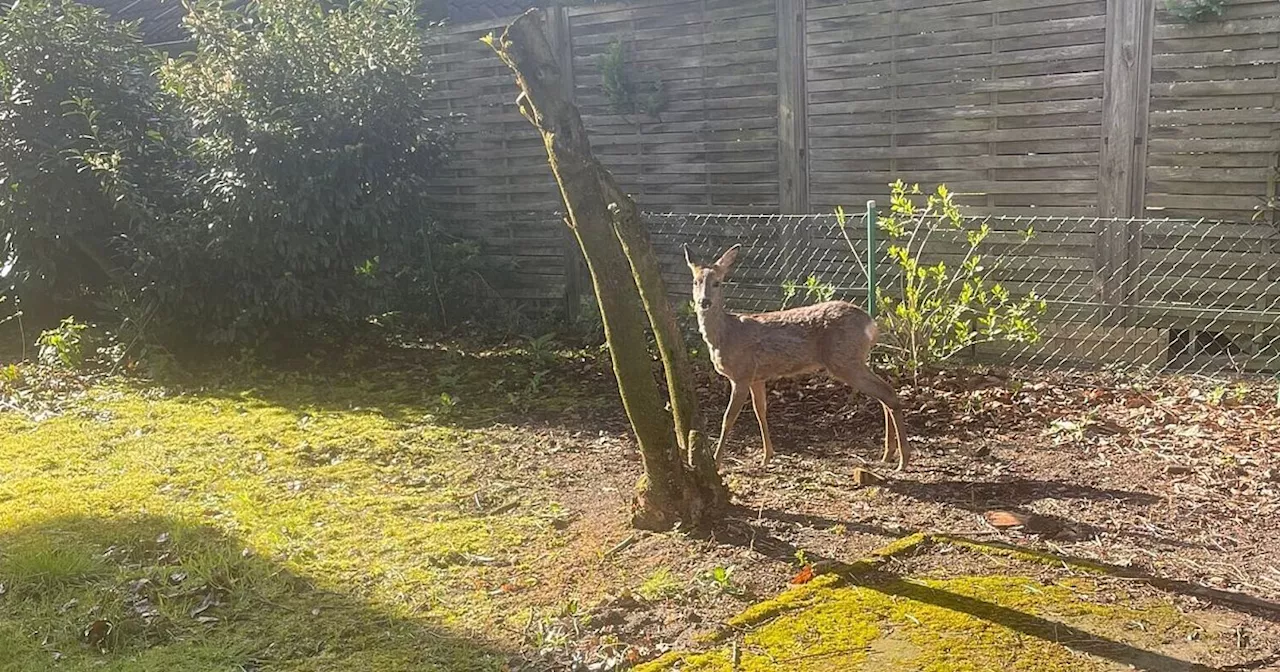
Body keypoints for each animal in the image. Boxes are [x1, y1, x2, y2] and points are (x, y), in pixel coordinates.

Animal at [680, 243, 911, 468]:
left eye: (717, 283)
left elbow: (728, 418)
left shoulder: (742, 374)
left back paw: (903, 459)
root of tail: (871, 324)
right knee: (885, 393)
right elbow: (760, 411)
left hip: (844, 359)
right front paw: (767, 456)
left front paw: (717, 462)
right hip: (852, 359)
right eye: (695, 281)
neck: (725, 335)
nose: (704, 302)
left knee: (887, 393)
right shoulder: (757, 377)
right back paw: (888, 454)